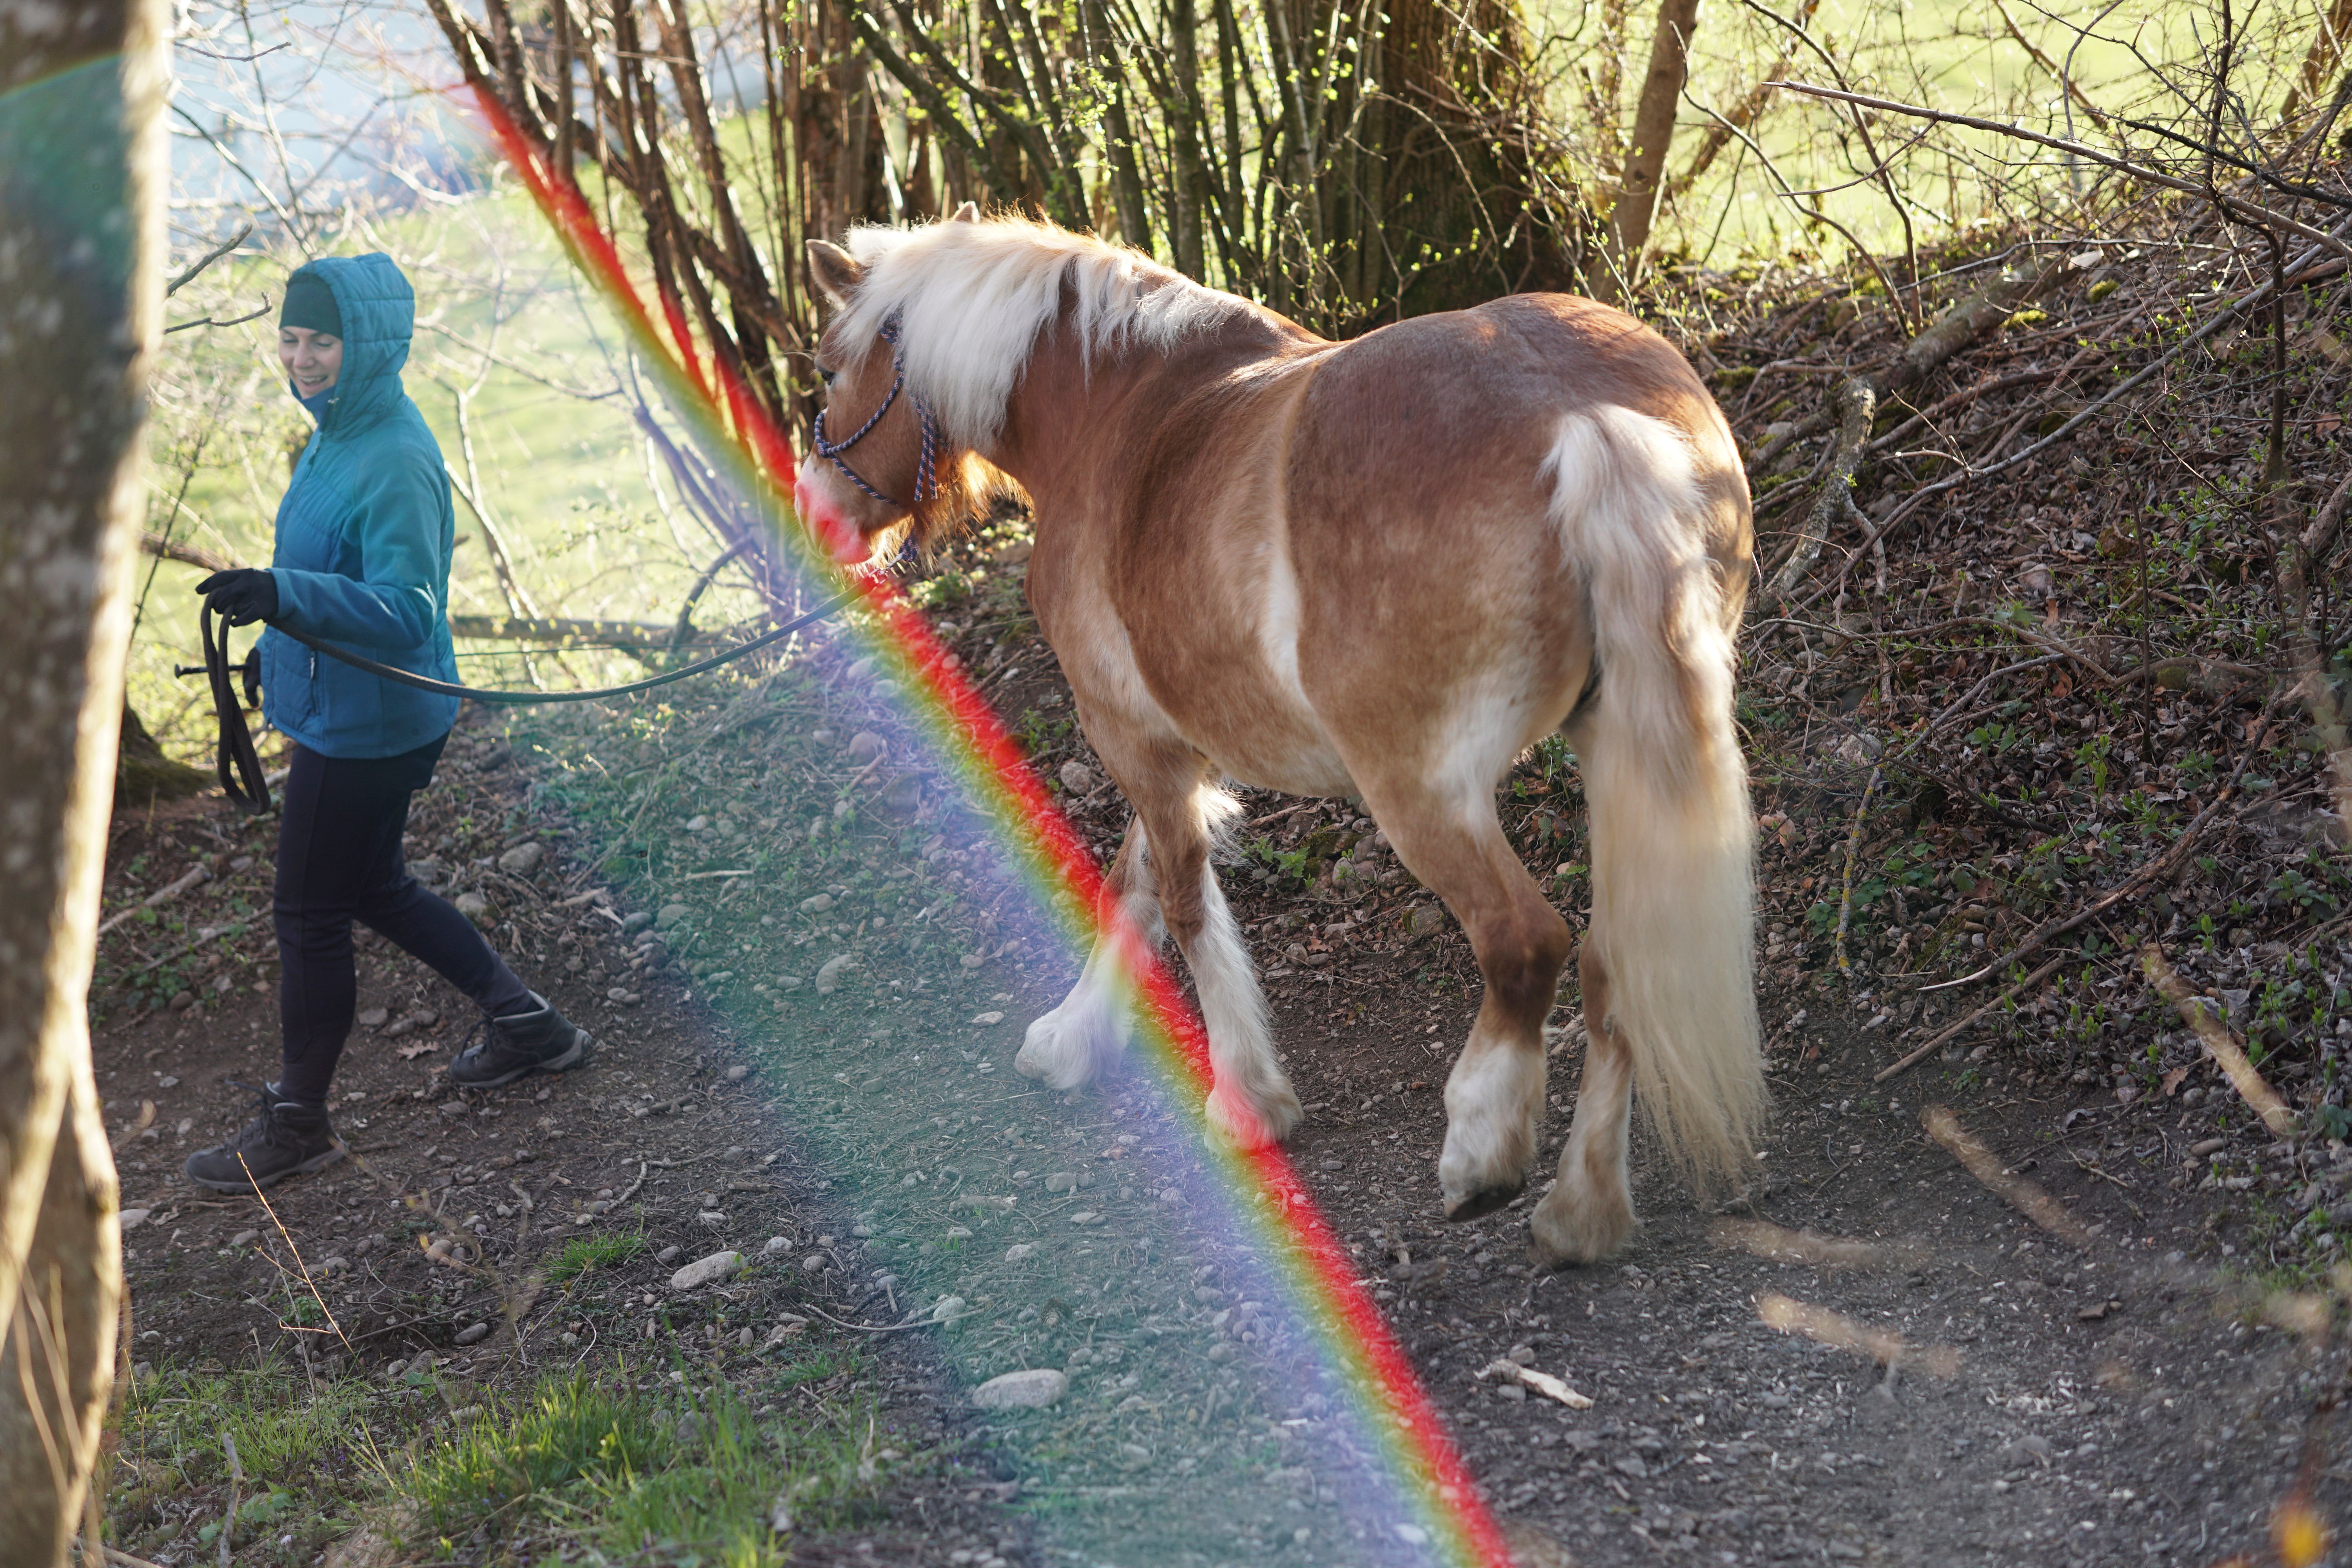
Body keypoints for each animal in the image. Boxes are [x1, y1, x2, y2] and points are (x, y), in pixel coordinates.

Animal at [793, 206, 1761, 1265]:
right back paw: (1582, 1207)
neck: (1114, 408)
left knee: (1524, 942)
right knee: (1614, 961)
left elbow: (1178, 899)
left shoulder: (1130, 735)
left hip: (1420, 791)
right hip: (1614, 744)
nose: (815, 508)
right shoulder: (1173, 743)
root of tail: (1579, 414)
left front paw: (1245, 1099)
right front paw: (1073, 1034)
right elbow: (1134, 880)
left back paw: (1482, 1147)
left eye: (830, 369)